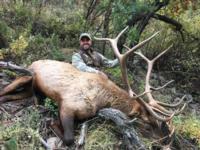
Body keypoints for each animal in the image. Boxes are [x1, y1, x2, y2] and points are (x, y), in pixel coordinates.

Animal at [0, 26, 186, 145]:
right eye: (147, 124)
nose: (166, 140)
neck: (101, 100)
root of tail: (34, 61)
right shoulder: (67, 104)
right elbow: (69, 139)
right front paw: (52, 123)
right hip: (26, 76)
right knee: (4, 90)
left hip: (28, 91)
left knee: (13, 96)